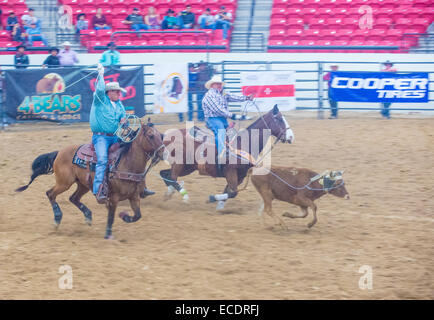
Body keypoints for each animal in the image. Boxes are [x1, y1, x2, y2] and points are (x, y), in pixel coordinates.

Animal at [15, 121, 164, 239]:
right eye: (151, 135)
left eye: (161, 135)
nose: (163, 153)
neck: (127, 164)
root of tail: (59, 153)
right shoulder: (113, 198)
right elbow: (111, 217)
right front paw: (108, 234)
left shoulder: (134, 196)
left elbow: (137, 215)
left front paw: (124, 216)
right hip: (64, 183)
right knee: (50, 193)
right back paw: (57, 219)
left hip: (83, 185)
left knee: (73, 198)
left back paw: (88, 216)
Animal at [159, 104, 294, 210]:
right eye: (279, 119)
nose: (291, 136)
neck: (244, 143)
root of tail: (167, 136)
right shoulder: (231, 172)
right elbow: (233, 193)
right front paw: (212, 198)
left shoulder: (240, 176)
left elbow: (229, 192)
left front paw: (219, 206)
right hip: (180, 163)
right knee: (172, 177)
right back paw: (184, 196)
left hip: (188, 167)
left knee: (166, 174)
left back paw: (168, 194)